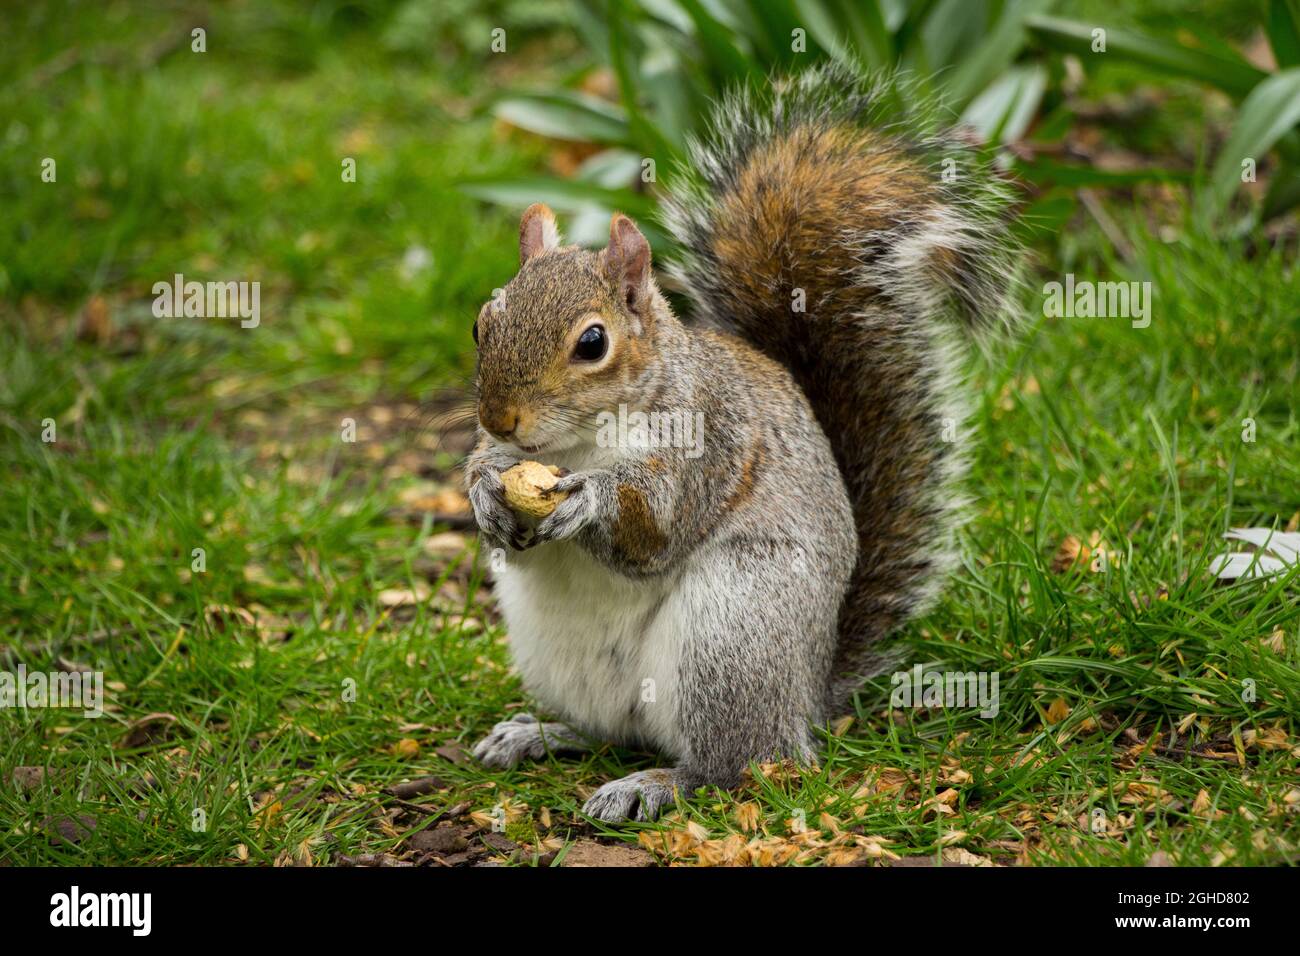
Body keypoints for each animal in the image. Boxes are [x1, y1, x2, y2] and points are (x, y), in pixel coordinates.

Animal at [462, 67, 1019, 827]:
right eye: (481, 324)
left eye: (592, 343)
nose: (501, 418)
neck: (579, 441)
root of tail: (810, 696)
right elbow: (492, 490)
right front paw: (485, 492)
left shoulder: (709, 444)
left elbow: (653, 532)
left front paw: (588, 500)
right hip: (563, 653)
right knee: (611, 730)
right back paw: (540, 733)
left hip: (732, 633)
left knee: (740, 764)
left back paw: (657, 783)